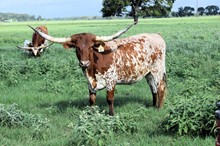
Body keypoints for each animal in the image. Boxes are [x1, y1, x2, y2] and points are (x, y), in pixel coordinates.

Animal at [29, 23, 167, 116]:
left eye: (91, 47)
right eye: (77, 47)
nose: (84, 63)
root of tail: (157, 35)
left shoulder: (111, 80)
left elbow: (109, 99)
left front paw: (111, 115)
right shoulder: (90, 83)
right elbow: (91, 100)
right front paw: (91, 114)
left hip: (158, 70)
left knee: (160, 86)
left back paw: (159, 108)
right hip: (148, 73)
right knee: (153, 87)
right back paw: (153, 105)